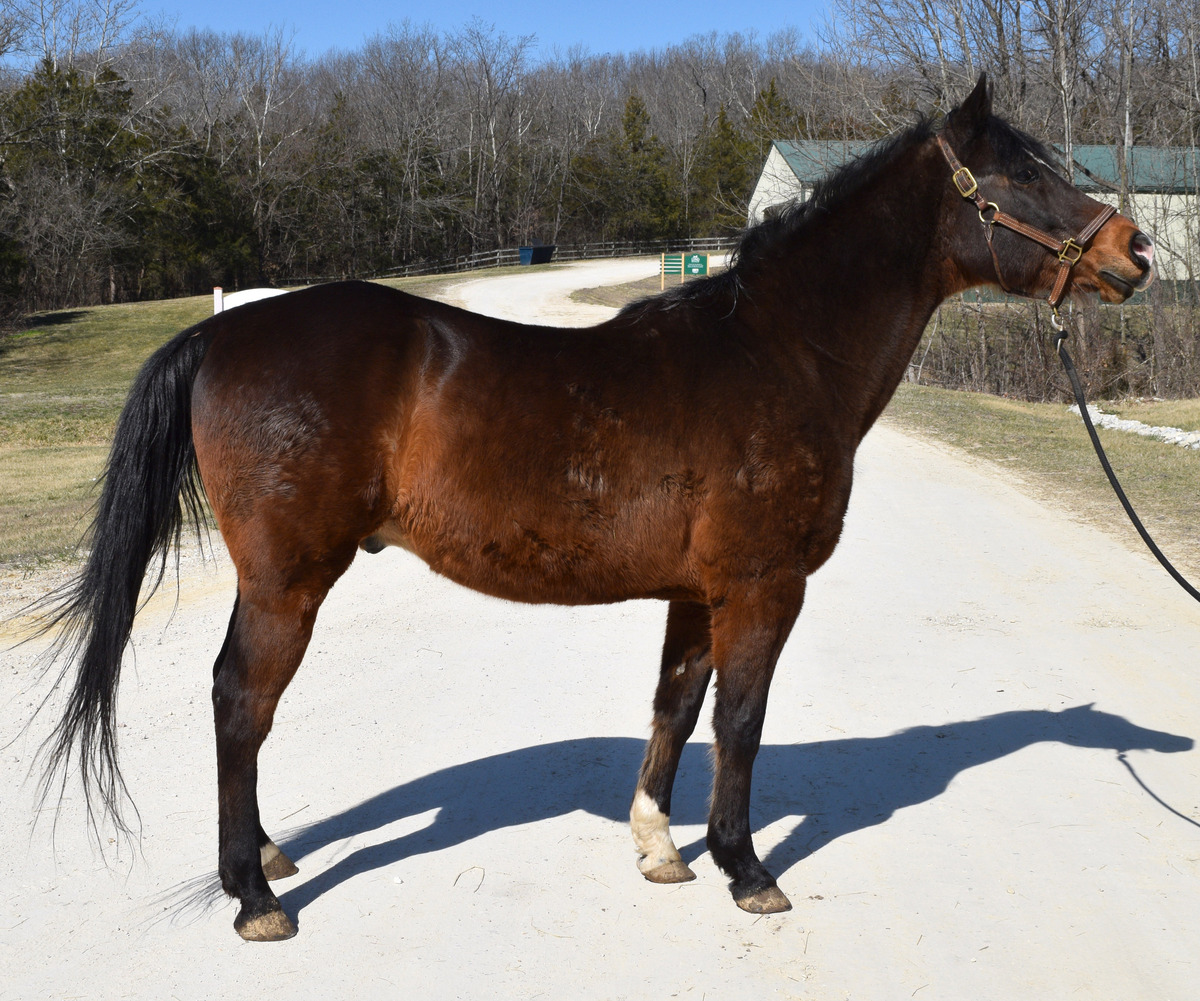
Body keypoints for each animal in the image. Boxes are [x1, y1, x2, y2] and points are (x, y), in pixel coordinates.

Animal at [31, 75, 1153, 941]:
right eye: (1020, 177)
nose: (1135, 252)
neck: (778, 351)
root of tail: (224, 334)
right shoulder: (763, 586)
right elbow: (741, 720)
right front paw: (747, 867)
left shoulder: (697, 591)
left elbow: (677, 706)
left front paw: (661, 846)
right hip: (287, 577)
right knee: (239, 699)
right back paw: (253, 892)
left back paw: (268, 854)